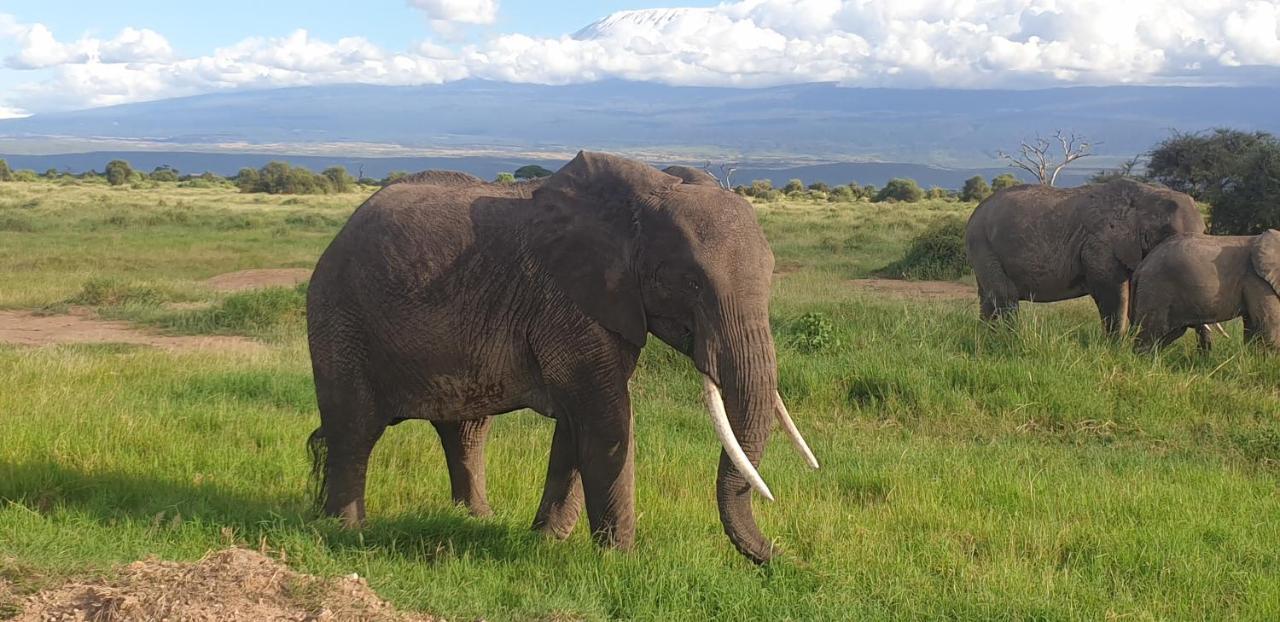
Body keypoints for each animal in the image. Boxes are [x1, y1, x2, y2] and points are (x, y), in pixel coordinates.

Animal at [304, 150, 814, 563]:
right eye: (690, 282)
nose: (785, 557)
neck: (646, 193)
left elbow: (577, 423)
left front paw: (546, 540)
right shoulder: (566, 301)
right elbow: (607, 418)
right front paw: (620, 562)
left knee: (465, 431)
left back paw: (477, 520)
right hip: (339, 316)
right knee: (354, 427)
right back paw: (347, 532)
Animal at [962, 179, 1203, 335]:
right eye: (1168, 235)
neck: (1146, 193)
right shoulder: (1099, 245)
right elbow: (1112, 294)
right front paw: (1116, 349)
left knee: (989, 300)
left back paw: (984, 338)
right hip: (983, 245)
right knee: (1005, 297)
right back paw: (1008, 339)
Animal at [1131, 231, 1280, 353]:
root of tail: (1141, 266)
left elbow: (1252, 328)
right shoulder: (1257, 280)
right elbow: (1271, 327)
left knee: (1168, 334)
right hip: (1156, 290)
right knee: (1151, 332)